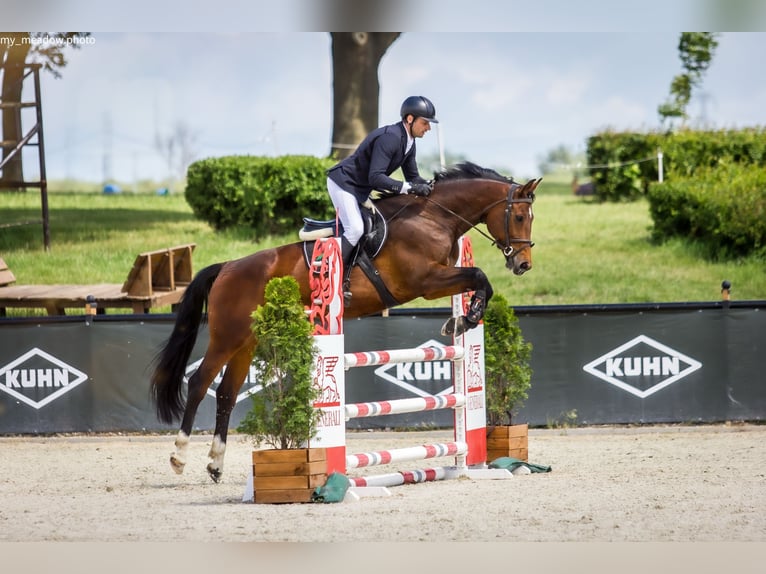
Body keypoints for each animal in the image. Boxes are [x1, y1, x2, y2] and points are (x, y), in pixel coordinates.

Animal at [150, 162, 540, 482]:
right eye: (520, 217)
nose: (522, 265)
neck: (433, 216)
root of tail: (227, 267)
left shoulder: (438, 279)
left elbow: (479, 280)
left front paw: (462, 320)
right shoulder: (425, 282)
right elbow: (479, 275)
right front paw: (465, 319)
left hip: (247, 342)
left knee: (227, 394)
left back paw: (215, 464)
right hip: (226, 337)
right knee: (199, 383)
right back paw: (178, 457)